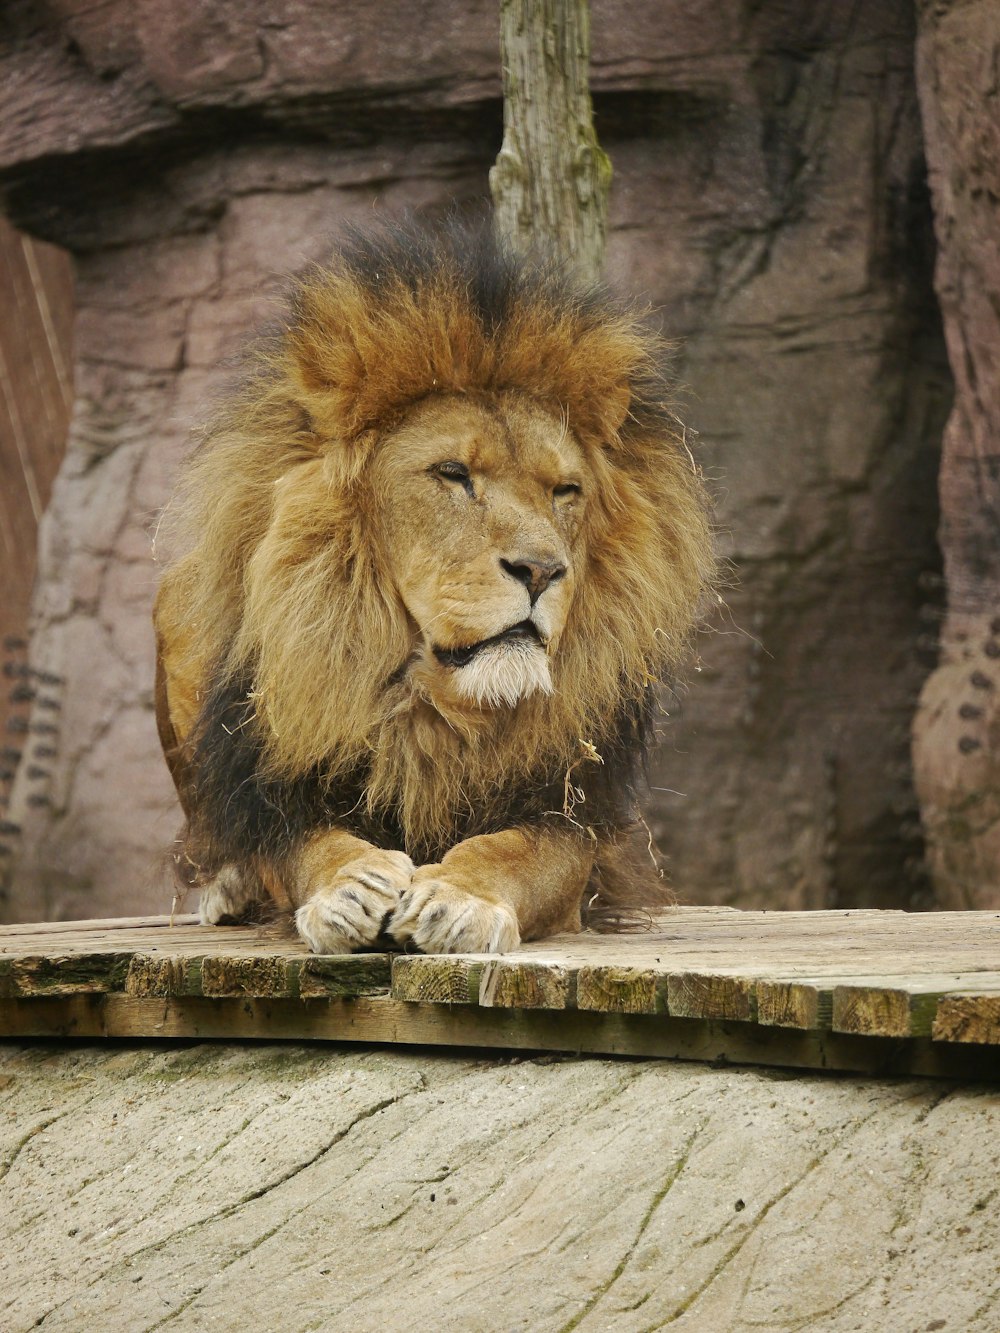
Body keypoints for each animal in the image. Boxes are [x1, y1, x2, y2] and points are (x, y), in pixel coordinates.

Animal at [152, 213, 714, 954]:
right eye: (453, 474)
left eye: (565, 491)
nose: (542, 569)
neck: (435, 704)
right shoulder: (279, 789)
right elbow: (307, 848)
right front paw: (348, 887)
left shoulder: (570, 815)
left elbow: (515, 852)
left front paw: (460, 897)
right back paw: (229, 889)